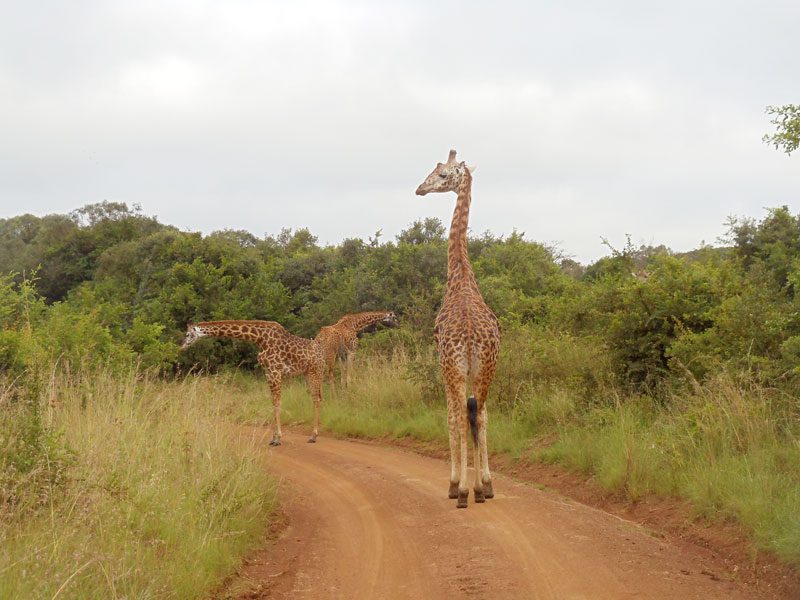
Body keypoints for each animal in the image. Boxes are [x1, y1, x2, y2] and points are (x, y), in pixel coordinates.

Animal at [184, 318, 324, 446]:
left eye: (188, 334)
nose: (183, 346)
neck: (259, 338)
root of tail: (322, 354)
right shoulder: (268, 372)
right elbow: (273, 403)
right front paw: (273, 438)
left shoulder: (275, 371)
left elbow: (277, 403)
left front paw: (278, 438)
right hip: (308, 374)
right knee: (317, 398)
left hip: (314, 372)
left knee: (316, 399)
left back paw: (313, 436)